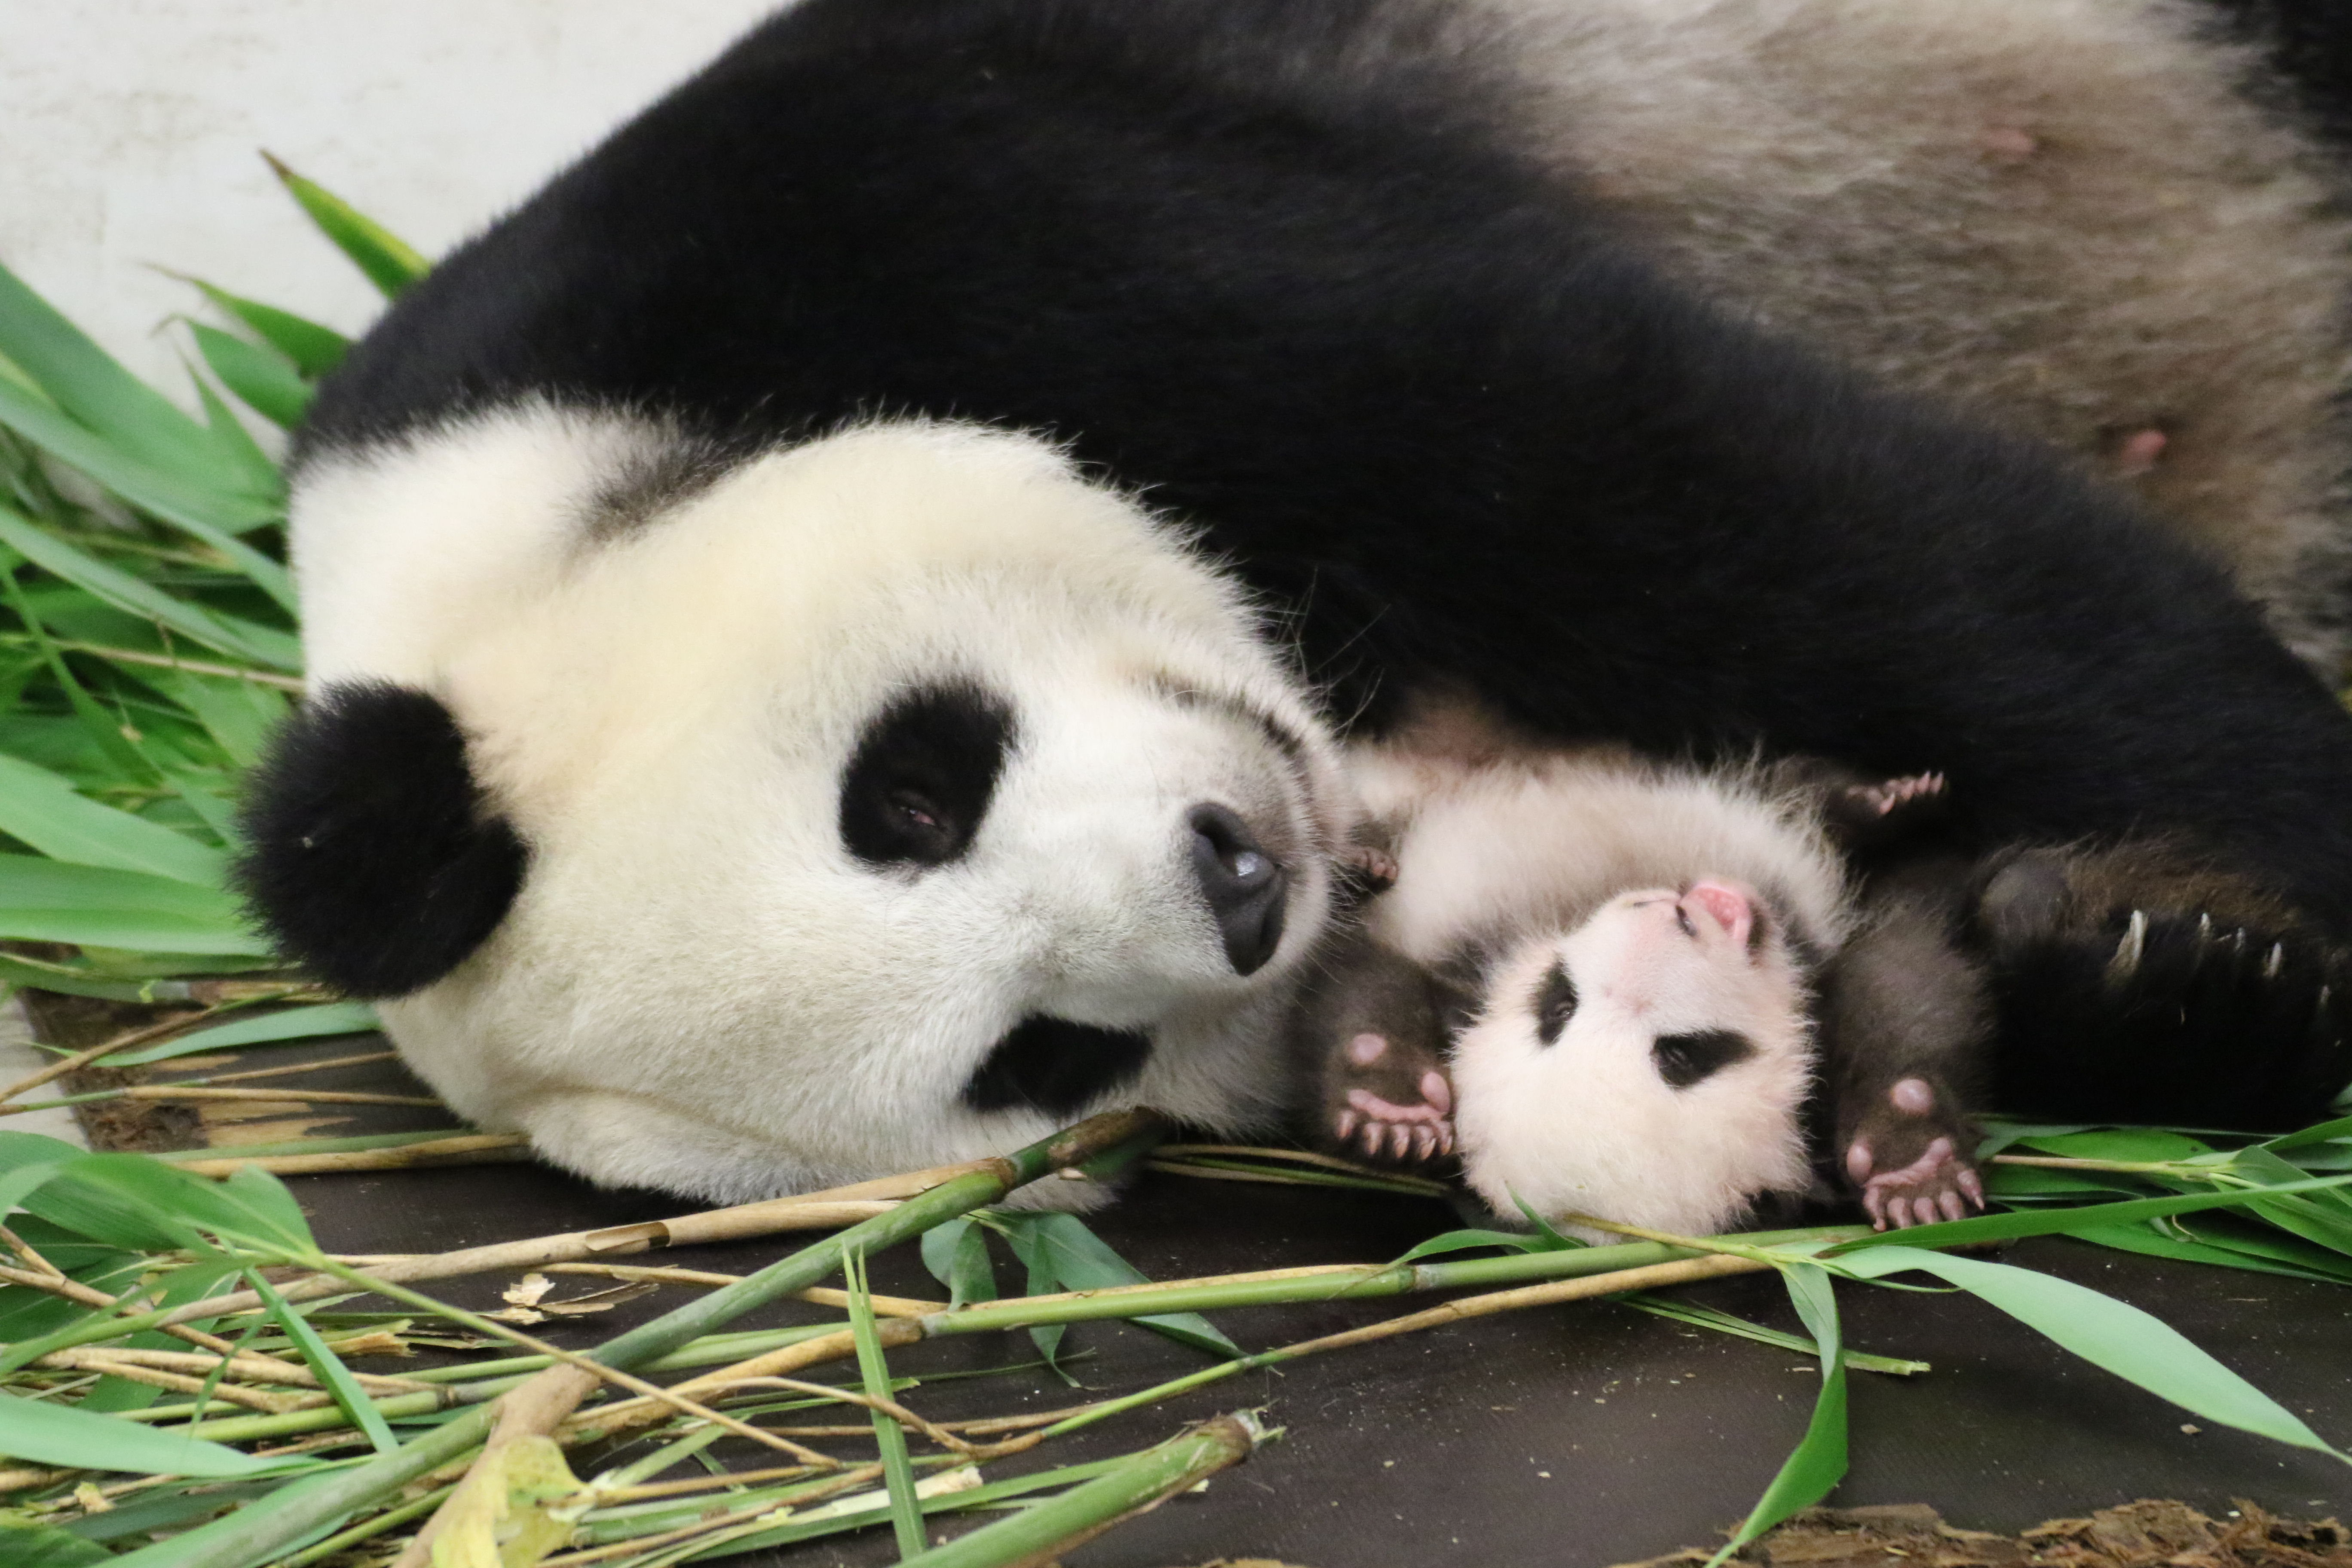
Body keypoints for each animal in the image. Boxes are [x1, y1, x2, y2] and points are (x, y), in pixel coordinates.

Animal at [239, 0, 2352, 1204]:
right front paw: (2150, 974)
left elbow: (1636, 461)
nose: (1240, 879)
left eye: (911, 788)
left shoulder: (880, 197)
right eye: (1039, 1059)